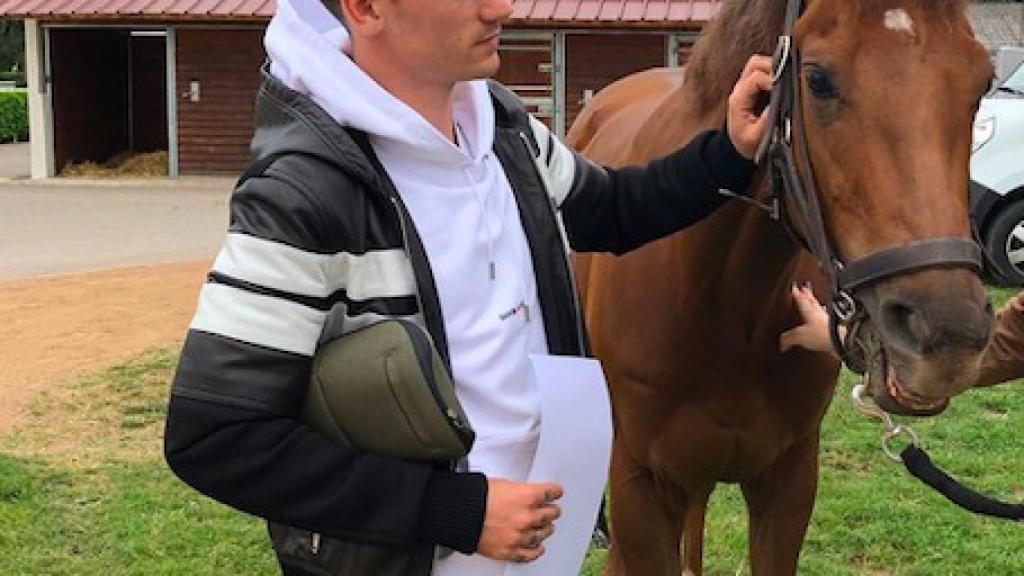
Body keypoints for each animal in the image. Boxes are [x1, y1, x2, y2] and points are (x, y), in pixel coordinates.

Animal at [569, 1, 991, 573]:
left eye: (982, 82)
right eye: (817, 79)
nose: (947, 335)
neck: (720, 303)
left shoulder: (788, 485)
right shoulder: (642, 490)